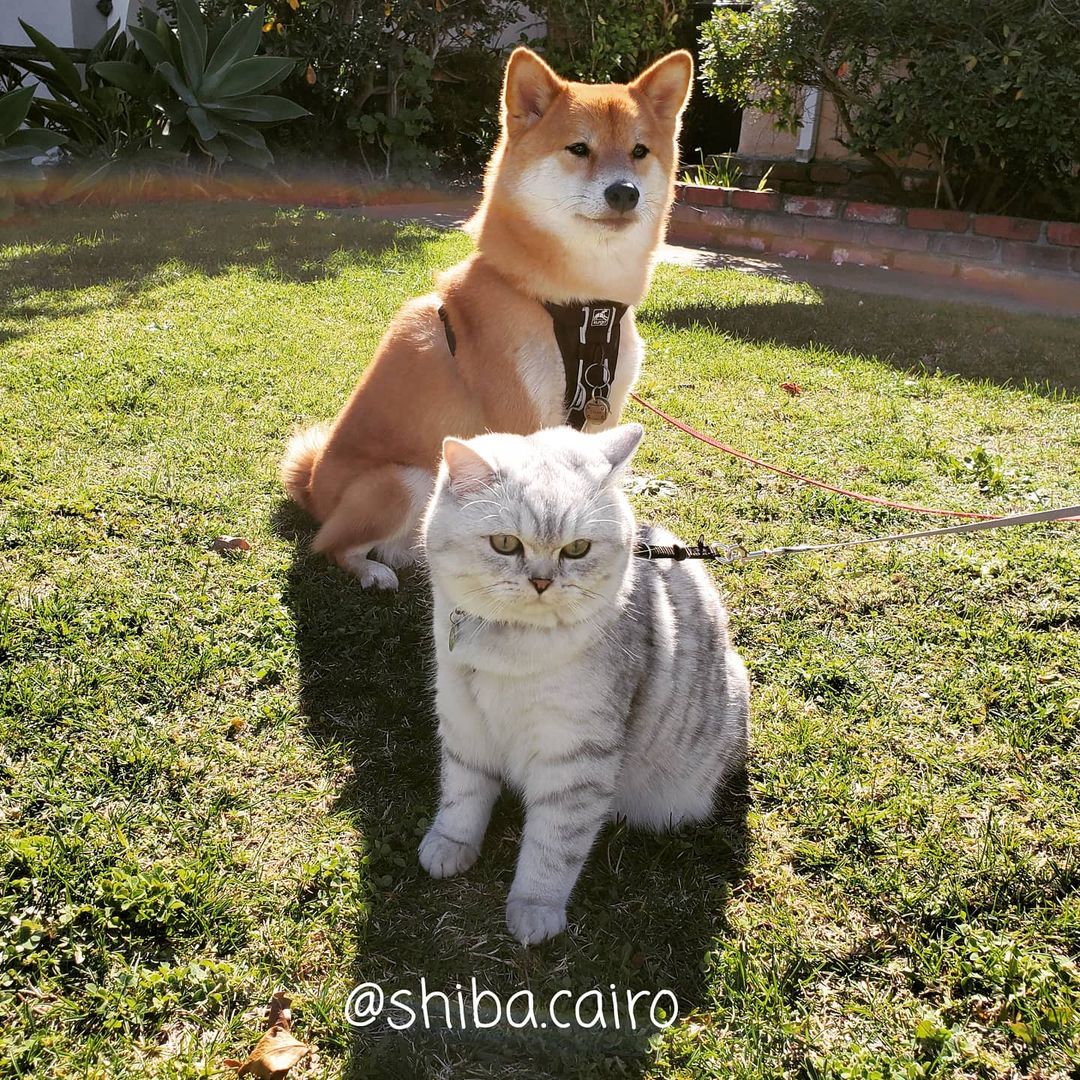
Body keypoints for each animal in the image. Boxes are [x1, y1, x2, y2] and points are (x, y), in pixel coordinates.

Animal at [278, 46, 691, 587]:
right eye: (579, 148)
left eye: (640, 151)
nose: (624, 191)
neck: (583, 309)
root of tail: (314, 487)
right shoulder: (520, 420)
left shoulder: (604, 417)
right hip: (404, 479)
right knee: (331, 545)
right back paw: (372, 570)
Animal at [416, 423, 747, 946]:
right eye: (505, 544)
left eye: (576, 549)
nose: (541, 581)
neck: (508, 646)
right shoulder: (462, 719)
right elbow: (461, 795)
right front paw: (451, 845)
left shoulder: (576, 758)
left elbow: (553, 845)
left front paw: (535, 910)